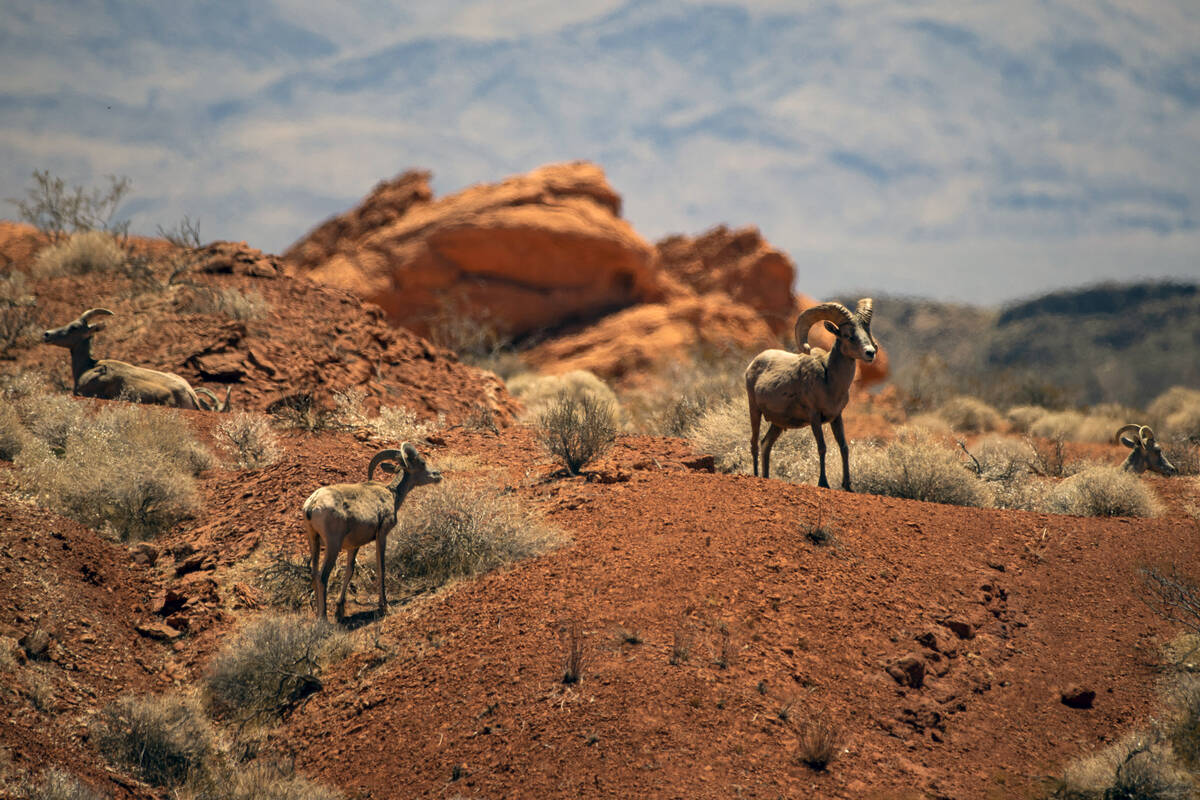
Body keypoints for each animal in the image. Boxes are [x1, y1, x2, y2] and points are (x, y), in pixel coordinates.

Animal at [302, 443, 442, 622]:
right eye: (422, 463)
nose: (437, 475)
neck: (392, 495)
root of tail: (312, 505)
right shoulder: (381, 535)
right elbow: (381, 567)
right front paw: (384, 606)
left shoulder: (354, 545)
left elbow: (349, 571)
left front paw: (340, 611)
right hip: (333, 545)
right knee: (322, 577)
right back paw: (323, 619)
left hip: (313, 540)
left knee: (314, 574)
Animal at [745, 299, 877, 489]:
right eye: (848, 335)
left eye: (867, 332)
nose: (870, 353)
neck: (829, 380)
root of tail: (752, 365)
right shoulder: (814, 416)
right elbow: (822, 447)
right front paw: (823, 483)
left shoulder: (837, 417)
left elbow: (844, 447)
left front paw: (848, 486)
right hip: (754, 411)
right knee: (754, 444)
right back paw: (756, 476)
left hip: (777, 424)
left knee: (766, 444)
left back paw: (766, 477)